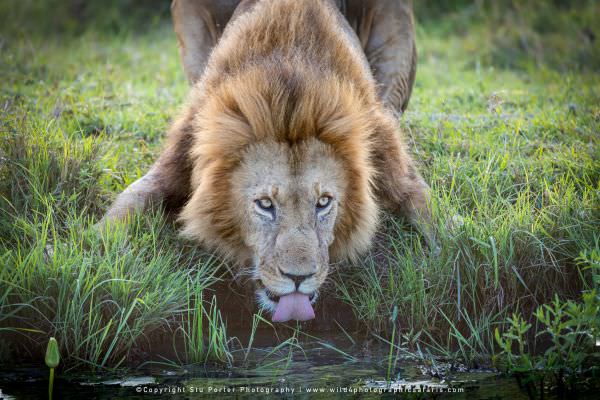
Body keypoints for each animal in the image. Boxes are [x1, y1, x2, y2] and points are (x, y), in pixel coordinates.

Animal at [101, 0, 434, 324]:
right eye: (264, 204)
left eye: (323, 202)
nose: (299, 278)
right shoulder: (180, 153)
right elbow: (129, 202)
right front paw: (100, 251)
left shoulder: (387, 152)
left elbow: (428, 213)